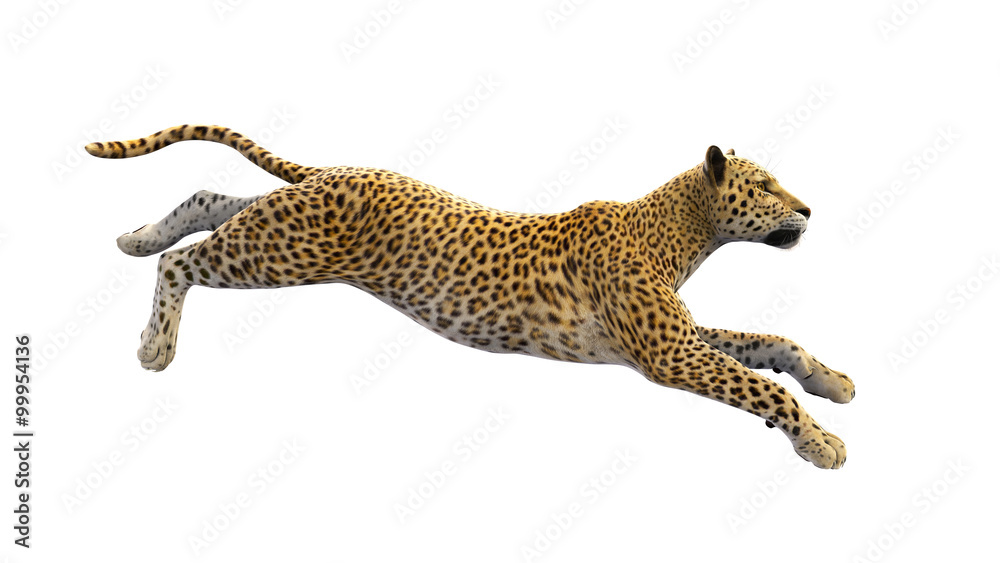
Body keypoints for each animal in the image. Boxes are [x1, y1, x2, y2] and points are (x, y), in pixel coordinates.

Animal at [86, 125, 855, 469]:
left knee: (209, 198)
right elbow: (763, 386)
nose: (810, 209)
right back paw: (154, 343)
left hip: (278, 225)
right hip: (279, 251)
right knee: (185, 261)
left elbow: (772, 345)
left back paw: (132, 237)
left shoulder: (678, 339)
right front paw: (820, 442)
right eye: (766, 187)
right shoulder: (668, 351)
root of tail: (336, 168)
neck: (681, 235)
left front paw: (832, 382)